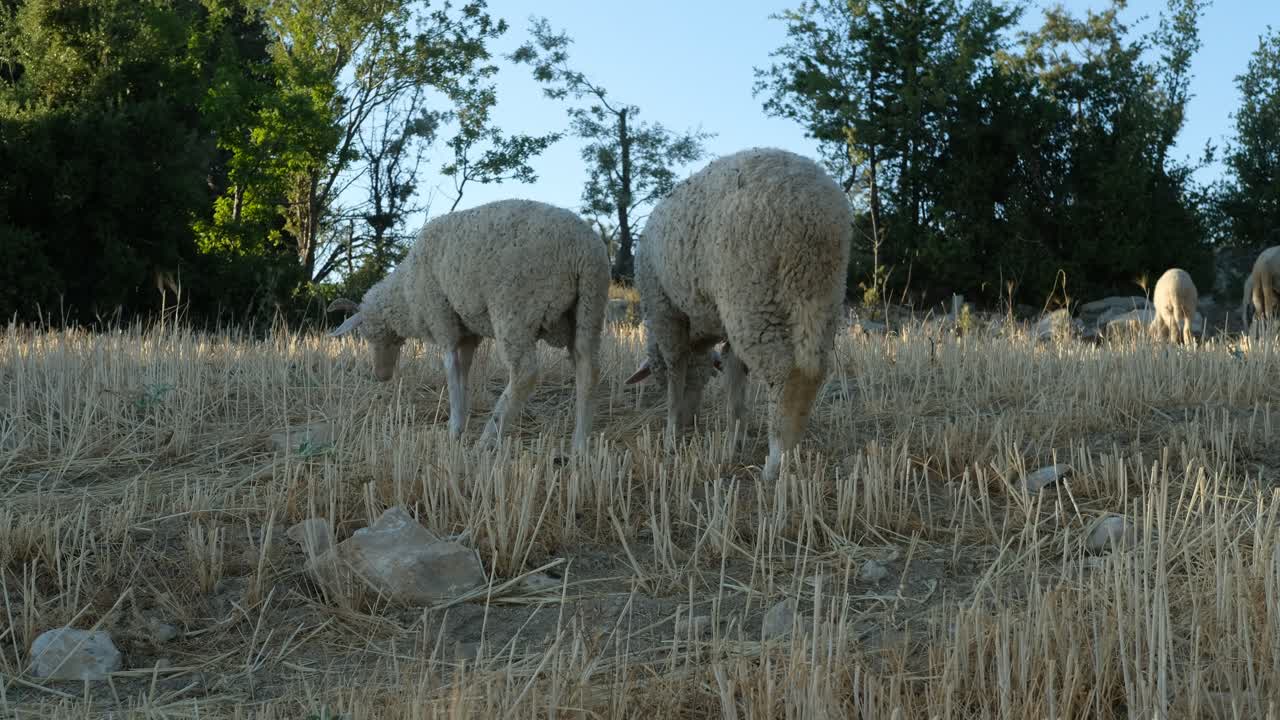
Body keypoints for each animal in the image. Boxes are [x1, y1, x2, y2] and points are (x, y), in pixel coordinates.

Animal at [327, 199, 611, 454]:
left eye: (367, 335)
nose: (381, 375)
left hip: (515, 310)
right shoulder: (467, 333)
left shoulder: (443, 320)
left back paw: (488, 438)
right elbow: (464, 372)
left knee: (525, 373)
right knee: (588, 368)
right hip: (589, 309)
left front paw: (453, 428)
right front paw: (461, 421)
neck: (406, 293)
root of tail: (584, 250)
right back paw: (580, 446)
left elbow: (451, 372)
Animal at [624, 147, 853, 483]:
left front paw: (670, 436)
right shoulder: (722, 330)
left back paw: (777, 461)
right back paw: (792, 453)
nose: (690, 423)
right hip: (820, 292)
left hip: (750, 295)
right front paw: (734, 442)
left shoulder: (664, 310)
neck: (699, 340)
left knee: (786, 372)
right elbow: (734, 380)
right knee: (813, 369)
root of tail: (812, 205)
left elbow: (676, 371)